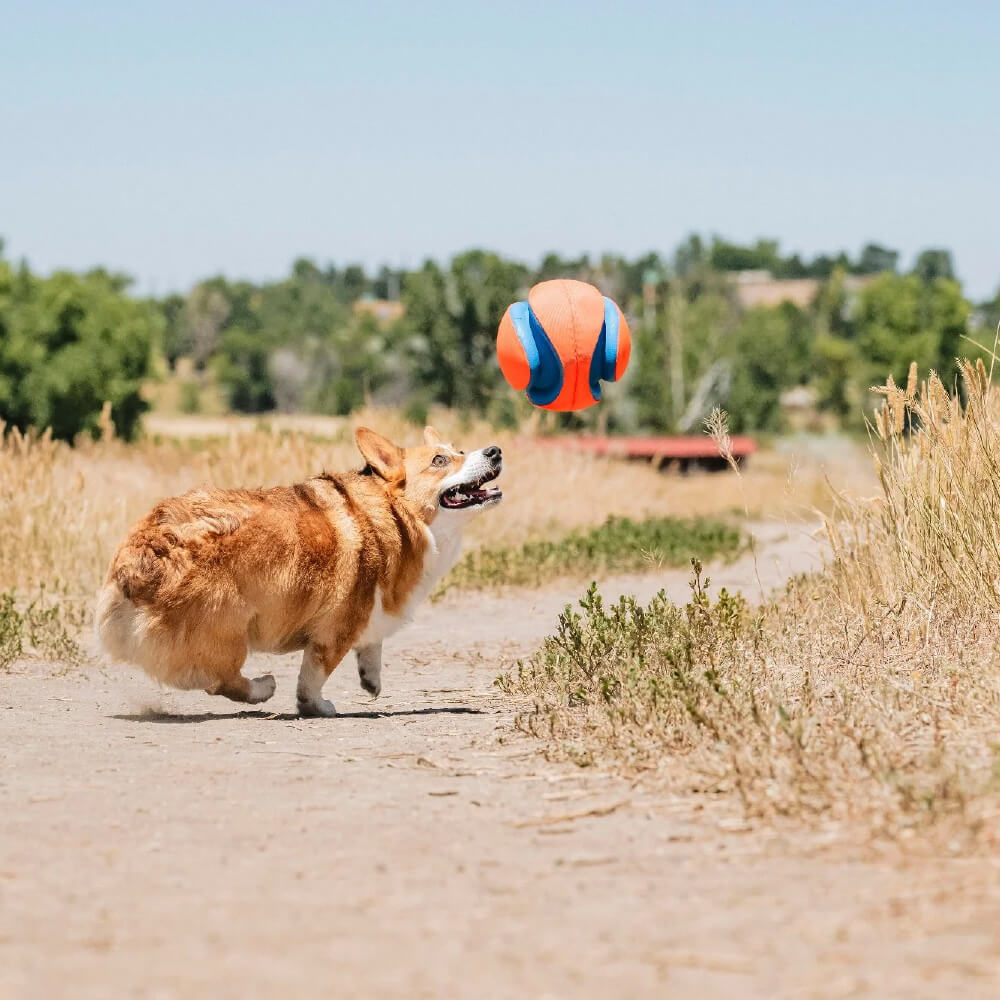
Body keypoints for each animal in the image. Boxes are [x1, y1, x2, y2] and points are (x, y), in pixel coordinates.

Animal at [94, 426, 504, 716]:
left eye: (460, 450)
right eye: (439, 460)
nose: (495, 450)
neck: (394, 513)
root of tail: (140, 558)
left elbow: (372, 647)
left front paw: (371, 680)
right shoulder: (335, 629)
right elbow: (313, 676)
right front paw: (316, 706)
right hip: (229, 631)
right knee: (219, 679)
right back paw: (262, 687)